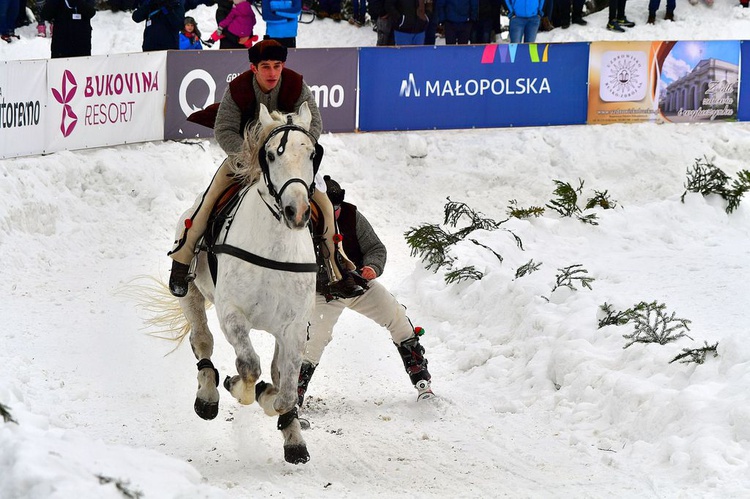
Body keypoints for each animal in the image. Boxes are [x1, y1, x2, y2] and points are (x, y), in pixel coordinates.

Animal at [178, 101, 320, 464]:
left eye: (312, 153)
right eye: (269, 154)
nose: (297, 211)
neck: (274, 250)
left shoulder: (294, 327)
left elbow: (285, 390)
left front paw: (286, 425)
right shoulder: (232, 315)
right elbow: (249, 365)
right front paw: (240, 388)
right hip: (191, 292)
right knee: (202, 340)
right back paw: (209, 395)